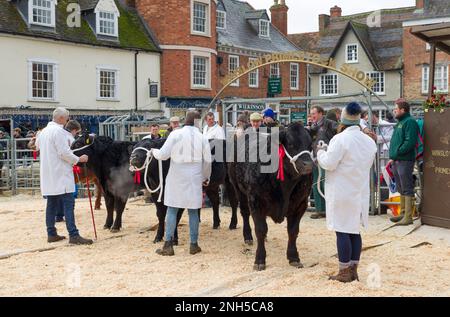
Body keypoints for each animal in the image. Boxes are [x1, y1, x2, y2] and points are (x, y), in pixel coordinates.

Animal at [229, 122, 312, 270]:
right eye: (290, 144)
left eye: (310, 144)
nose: (308, 165)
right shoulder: (256, 201)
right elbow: (260, 230)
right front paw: (259, 259)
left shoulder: (301, 204)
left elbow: (293, 231)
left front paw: (294, 257)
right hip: (238, 188)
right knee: (244, 213)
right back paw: (247, 236)